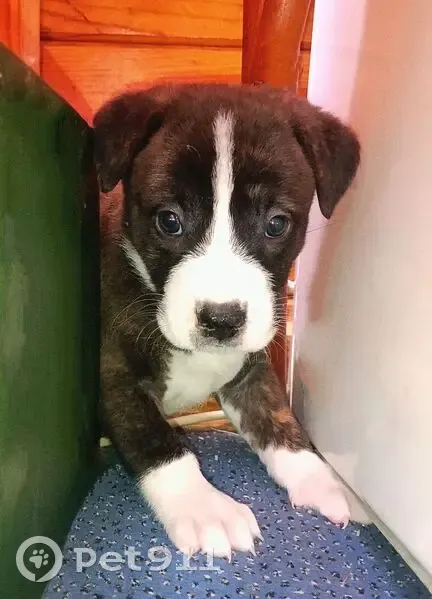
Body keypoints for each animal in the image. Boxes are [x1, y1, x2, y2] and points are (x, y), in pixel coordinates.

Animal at [94, 83, 360, 557]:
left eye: (276, 223)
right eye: (169, 220)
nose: (222, 320)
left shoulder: (251, 368)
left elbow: (277, 417)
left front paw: (316, 477)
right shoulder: (113, 376)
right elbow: (159, 443)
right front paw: (203, 507)